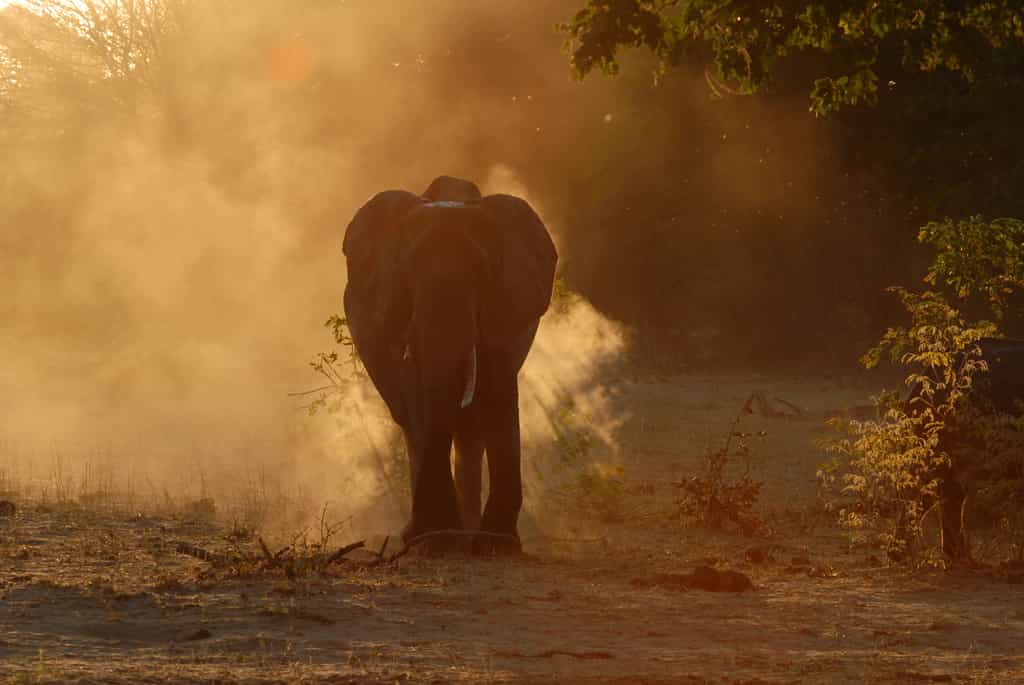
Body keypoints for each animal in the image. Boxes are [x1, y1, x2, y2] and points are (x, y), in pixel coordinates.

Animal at [342, 175, 557, 553]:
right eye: (407, 275)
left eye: (483, 274)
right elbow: (419, 397)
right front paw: (436, 542)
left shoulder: (507, 310)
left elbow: (499, 397)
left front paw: (498, 547)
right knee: (411, 422)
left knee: (471, 431)